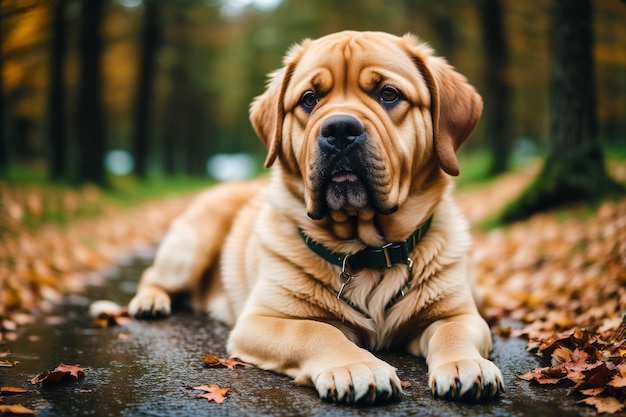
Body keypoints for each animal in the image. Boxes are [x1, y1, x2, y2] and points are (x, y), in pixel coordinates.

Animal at [127, 30, 502, 404]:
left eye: (388, 94)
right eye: (309, 99)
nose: (340, 129)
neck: (367, 248)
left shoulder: (460, 313)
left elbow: (454, 330)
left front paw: (465, 363)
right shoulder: (262, 319)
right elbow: (316, 331)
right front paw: (357, 366)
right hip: (191, 247)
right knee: (151, 275)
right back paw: (150, 301)